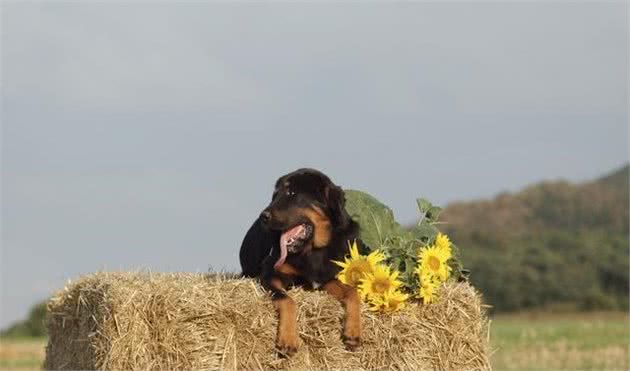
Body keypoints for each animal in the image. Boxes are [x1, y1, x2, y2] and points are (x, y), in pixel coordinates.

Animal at [239, 169, 362, 358]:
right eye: (275, 195)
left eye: (291, 193)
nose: (263, 217)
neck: (313, 250)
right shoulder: (270, 275)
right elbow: (288, 300)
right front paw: (288, 339)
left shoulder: (326, 280)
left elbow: (353, 292)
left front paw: (353, 332)